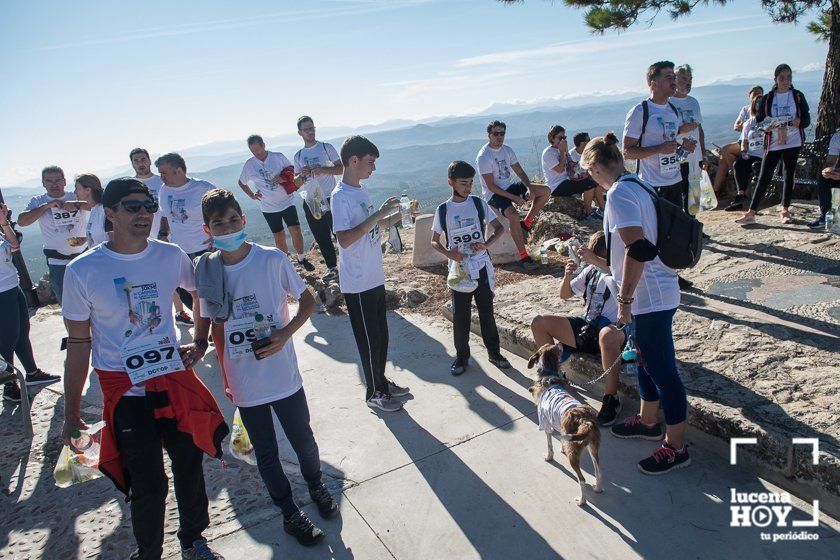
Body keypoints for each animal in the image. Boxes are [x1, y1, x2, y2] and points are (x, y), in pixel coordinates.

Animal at [528, 344, 600, 506]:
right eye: (554, 347)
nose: (561, 344)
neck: (549, 374)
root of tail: (585, 420)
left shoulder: (546, 424)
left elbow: (549, 445)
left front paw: (549, 457)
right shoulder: (559, 427)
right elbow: (561, 439)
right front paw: (561, 448)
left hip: (574, 454)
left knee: (582, 480)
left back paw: (582, 501)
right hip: (593, 447)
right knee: (598, 471)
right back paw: (598, 488)